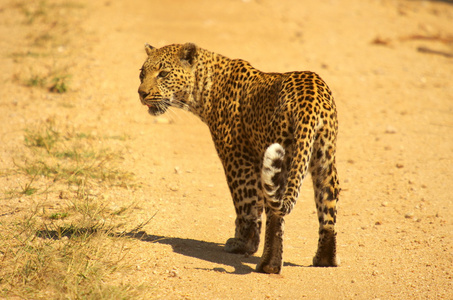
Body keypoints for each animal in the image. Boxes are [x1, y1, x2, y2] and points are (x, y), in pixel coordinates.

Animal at [137, 42, 340, 274]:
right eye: (142, 74)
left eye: (163, 74)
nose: (141, 93)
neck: (204, 89)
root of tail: (310, 102)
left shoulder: (237, 158)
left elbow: (247, 205)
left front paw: (243, 244)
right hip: (324, 158)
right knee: (327, 207)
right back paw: (325, 260)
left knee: (275, 215)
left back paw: (268, 265)